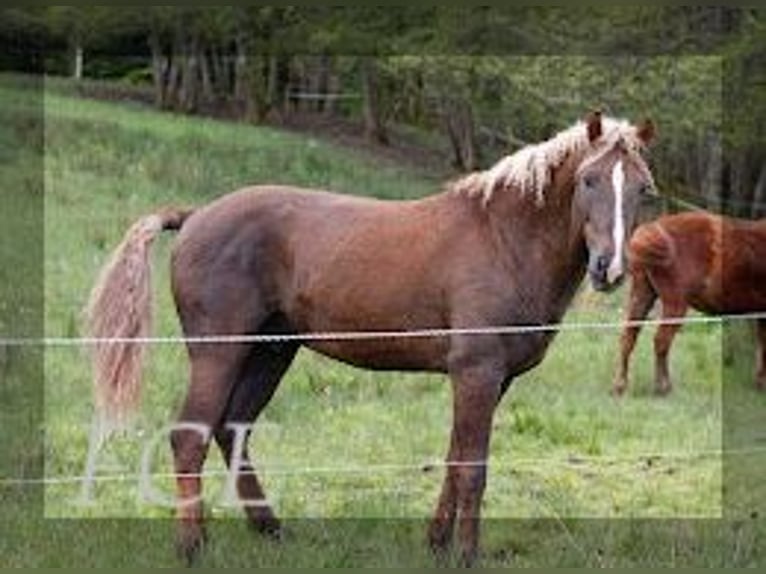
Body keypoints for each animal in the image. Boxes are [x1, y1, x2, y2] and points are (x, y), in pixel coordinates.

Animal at [88, 112, 656, 568]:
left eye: (644, 189)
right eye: (588, 180)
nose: (610, 269)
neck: (503, 238)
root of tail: (195, 216)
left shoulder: (493, 382)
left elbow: (454, 459)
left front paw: (437, 544)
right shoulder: (477, 372)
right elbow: (472, 468)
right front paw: (466, 554)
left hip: (271, 352)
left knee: (233, 429)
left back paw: (270, 529)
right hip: (219, 353)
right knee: (191, 436)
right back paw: (192, 546)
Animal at [616, 209, 766, 398]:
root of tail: (652, 229)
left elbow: (762, 345)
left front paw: (760, 382)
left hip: (642, 295)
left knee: (629, 337)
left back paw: (621, 386)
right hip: (675, 304)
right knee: (661, 341)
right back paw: (662, 387)